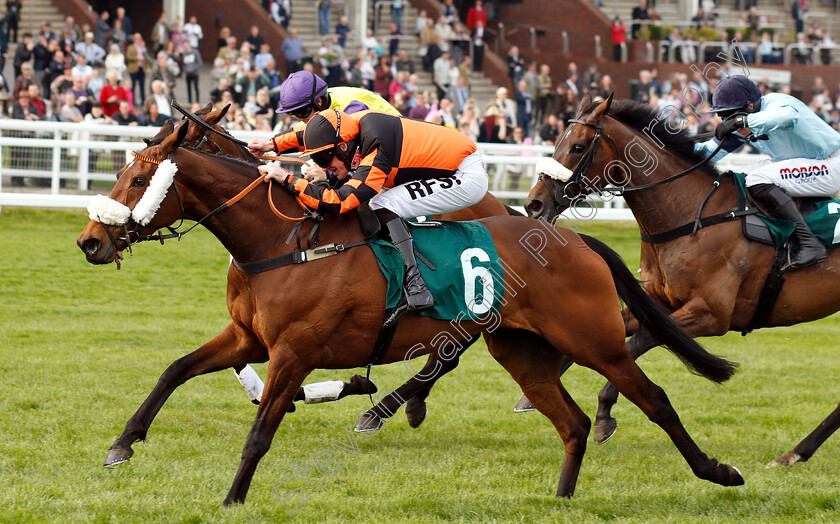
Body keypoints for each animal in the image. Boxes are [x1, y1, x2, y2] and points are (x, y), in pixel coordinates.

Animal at [74, 118, 740, 504]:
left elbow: (261, 429)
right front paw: (123, 445)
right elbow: (175, 370)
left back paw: (718, 471)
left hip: (593, 340)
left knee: (651, 398)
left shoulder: (293, 351)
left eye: (138, 180)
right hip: (521, 349)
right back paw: (560, 498)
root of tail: (574, 239)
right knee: (570, 422)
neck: (282, 240)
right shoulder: (249, 338)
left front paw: (233, 499)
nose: (90, 242)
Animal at [528, 92, 840, 464]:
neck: (691, 213)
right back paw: (797, 452)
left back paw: (796, 453)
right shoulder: (658, 301)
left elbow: (637, 345)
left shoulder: (710, 314)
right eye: (557, 141)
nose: (534, 204)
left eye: (576, 147)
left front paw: (603, 416)